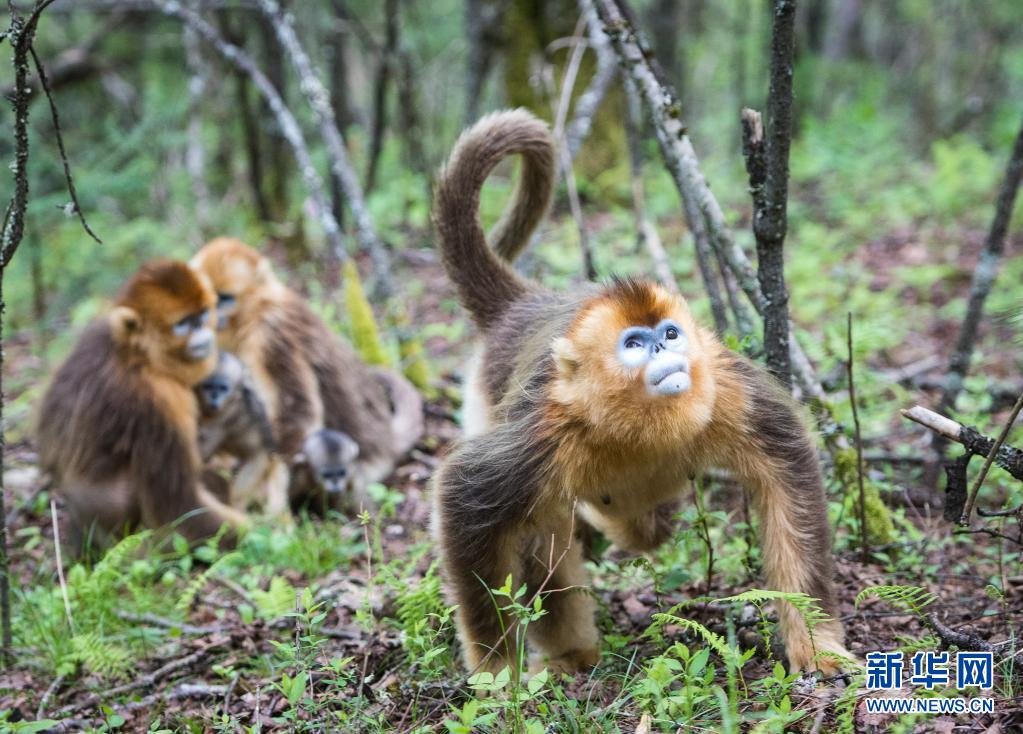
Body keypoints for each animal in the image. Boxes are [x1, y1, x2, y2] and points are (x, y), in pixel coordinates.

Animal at [427, 107, 851, 675]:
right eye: (634, 344)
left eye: (669, 334)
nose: (663, 353)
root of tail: (524, 307)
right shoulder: (546, 430)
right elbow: (464, 497)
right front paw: (496, 677)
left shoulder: (725, 390)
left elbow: (789, 472)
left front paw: (819, 646)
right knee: (544, 526)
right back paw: (570, 650)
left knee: (641, 525)